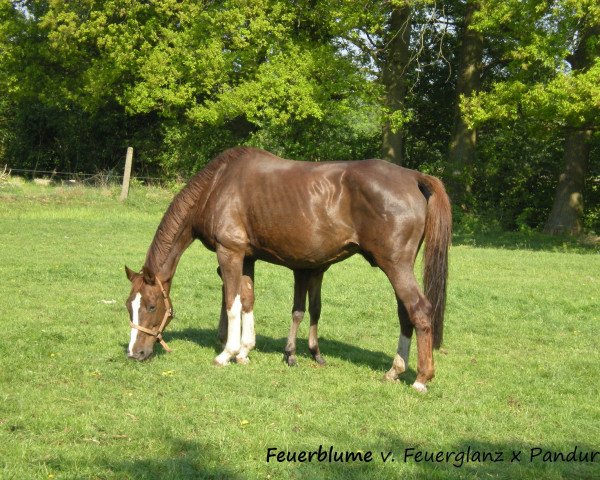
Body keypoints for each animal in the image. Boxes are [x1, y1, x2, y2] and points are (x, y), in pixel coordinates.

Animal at [125, 147, 450, 394]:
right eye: (130, 306)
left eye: (151, 306)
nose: (134, 353)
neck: (217, 186)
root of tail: (414, 177)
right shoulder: (247, 257)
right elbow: (247, 300)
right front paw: (245, 351)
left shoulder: (230, 252)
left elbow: (232, 303)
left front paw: (227, 353)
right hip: (399, 267)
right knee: (405, 314)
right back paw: (394, 371)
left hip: (395, 266)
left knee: (420, 310)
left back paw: (421, 379)